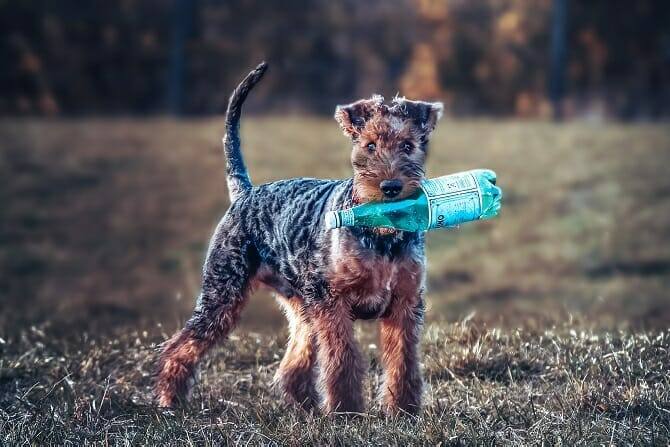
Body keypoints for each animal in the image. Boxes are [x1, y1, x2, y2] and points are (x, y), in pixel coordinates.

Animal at [155, 61, 444, 414]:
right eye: (370, 145)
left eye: (407, 145)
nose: (390, 188)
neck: (381, 239)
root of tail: (245, 192)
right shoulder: (333, 303)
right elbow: (342, 360)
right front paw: (346, 412)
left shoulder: (404, 303)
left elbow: (403, 362)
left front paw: (402, 411)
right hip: (222, 294)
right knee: (180, 346)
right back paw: (169, 399)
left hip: (302, 308)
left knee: (293, 363)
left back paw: (304, 406)